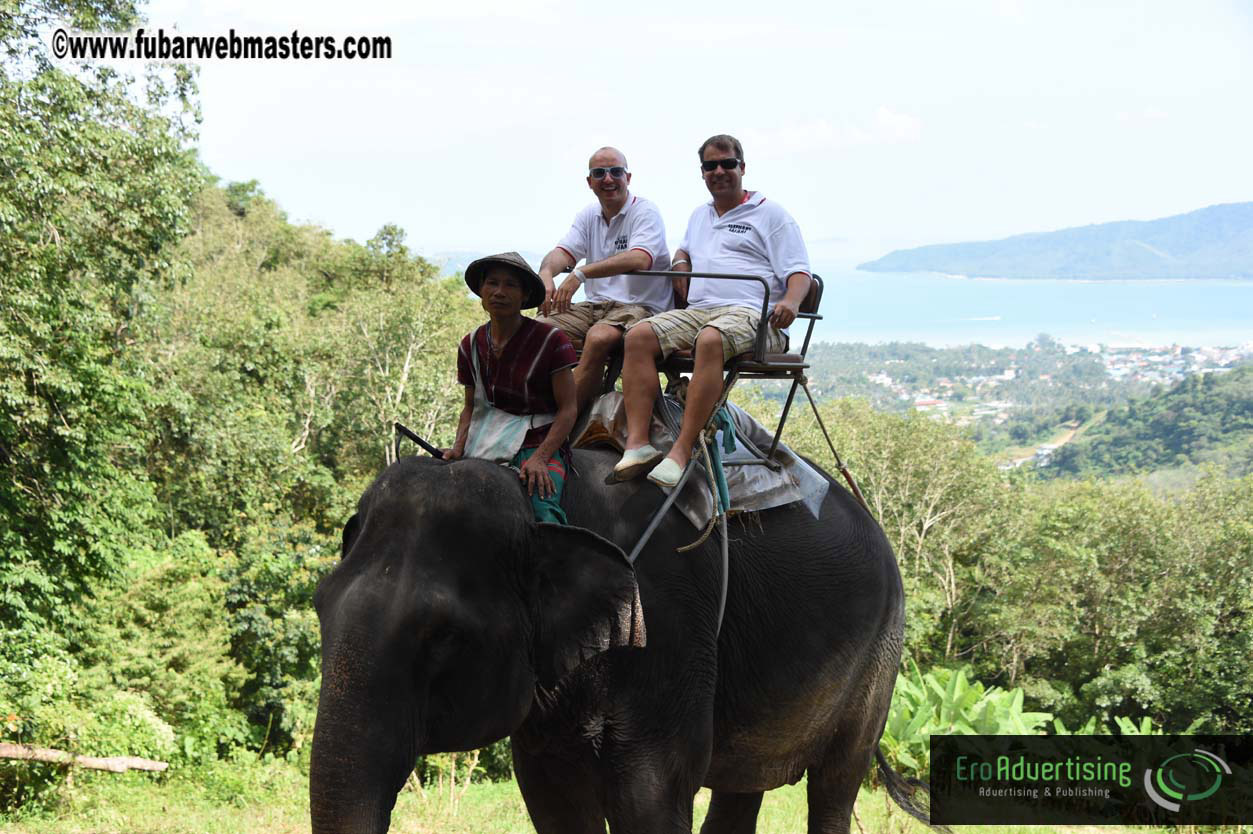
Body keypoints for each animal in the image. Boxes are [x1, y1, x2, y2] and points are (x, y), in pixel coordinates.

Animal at [310, 447, 928, 834]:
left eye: (443, 636)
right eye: (320, 606)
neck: (542, 502)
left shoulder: (668, 630)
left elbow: (648, 798)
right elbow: (555, 802)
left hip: (880, 658)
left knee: (834, 785)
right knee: (743, 787)